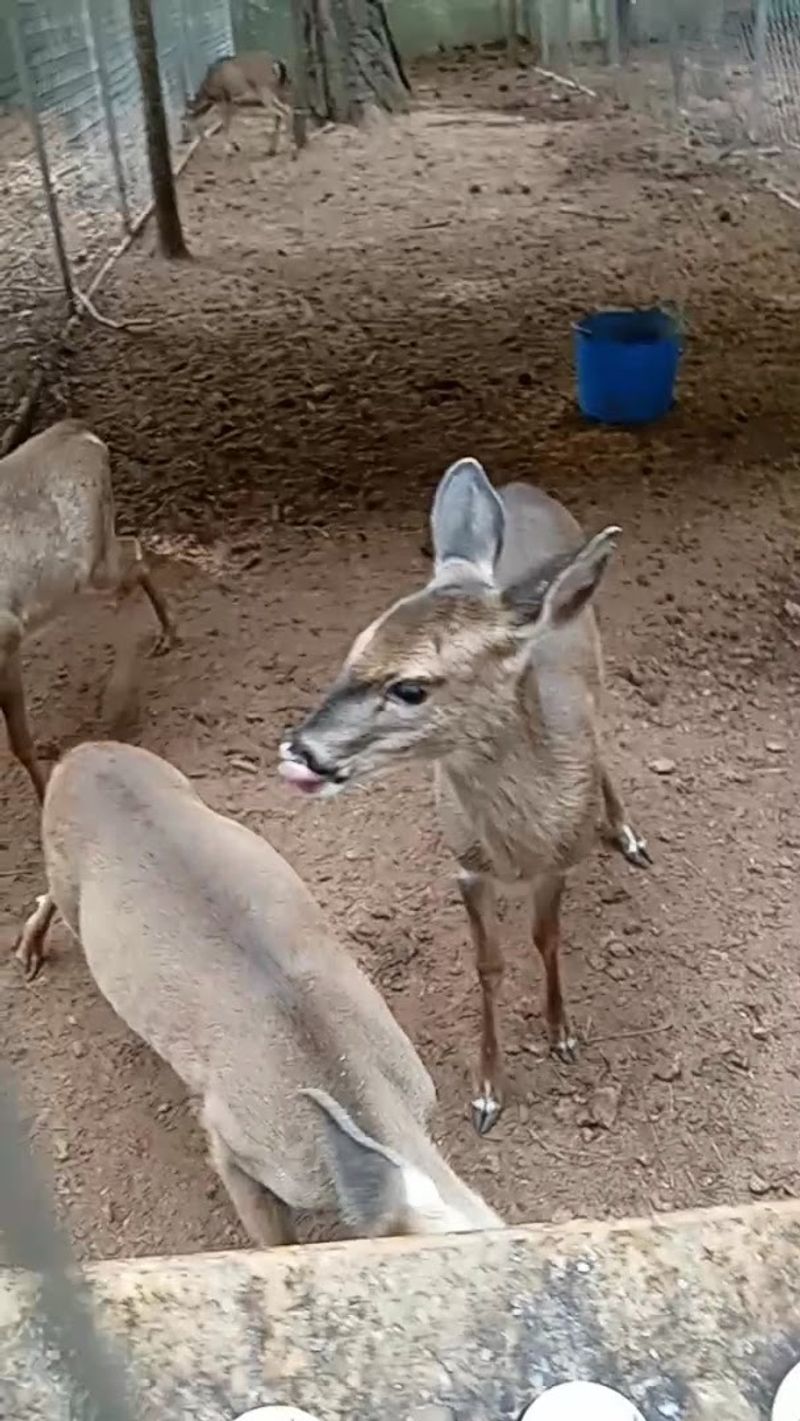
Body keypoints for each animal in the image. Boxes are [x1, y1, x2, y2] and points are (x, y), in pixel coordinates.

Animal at [0, 420, 175, 803]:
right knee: (133, 551)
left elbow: (20, 744)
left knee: (134, 558)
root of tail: (82, 433)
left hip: (96, 562)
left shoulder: (7, 638)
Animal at [279, 457, 650, 1137]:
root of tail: (523, 488)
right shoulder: (466, 865)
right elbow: (489, 964)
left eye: (411, 687)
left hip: (597, 656)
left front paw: (561, 1034)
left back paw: (628, 833)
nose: (302, 752)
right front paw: (486, 1092)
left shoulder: (559, 862)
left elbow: (546, 938)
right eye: (354, 651)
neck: (517, 848)